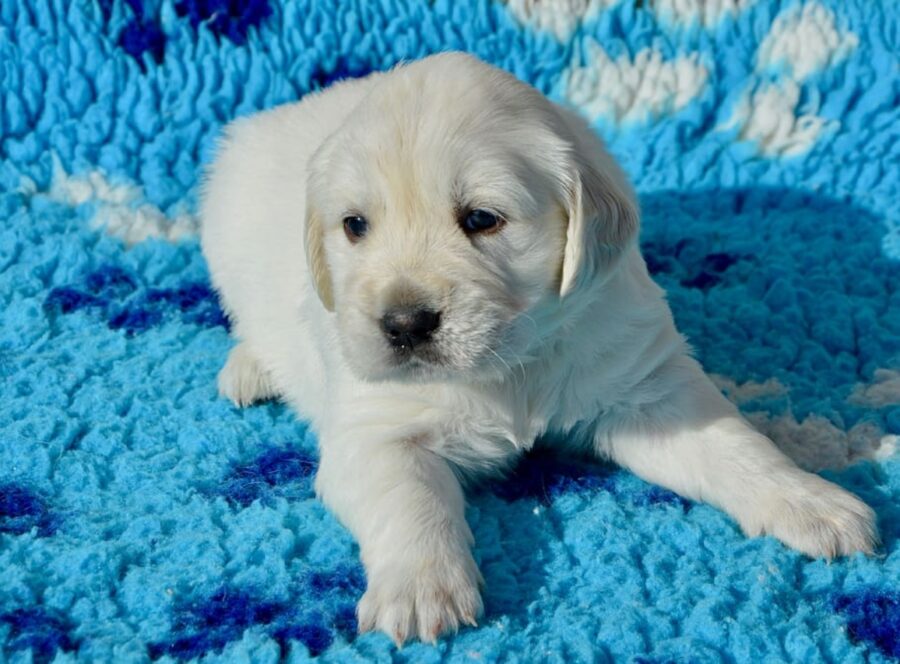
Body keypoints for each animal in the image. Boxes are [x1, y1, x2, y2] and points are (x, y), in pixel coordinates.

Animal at [199, 53, 880, 648]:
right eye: (354, 226)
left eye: (481, 219)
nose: (404, 324)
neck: (511, 361)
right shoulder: (375, 431)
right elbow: (410, 499)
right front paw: (421, 588)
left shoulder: (645, 385)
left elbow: (735, 447)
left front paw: (810, 501)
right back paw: (250, 366)